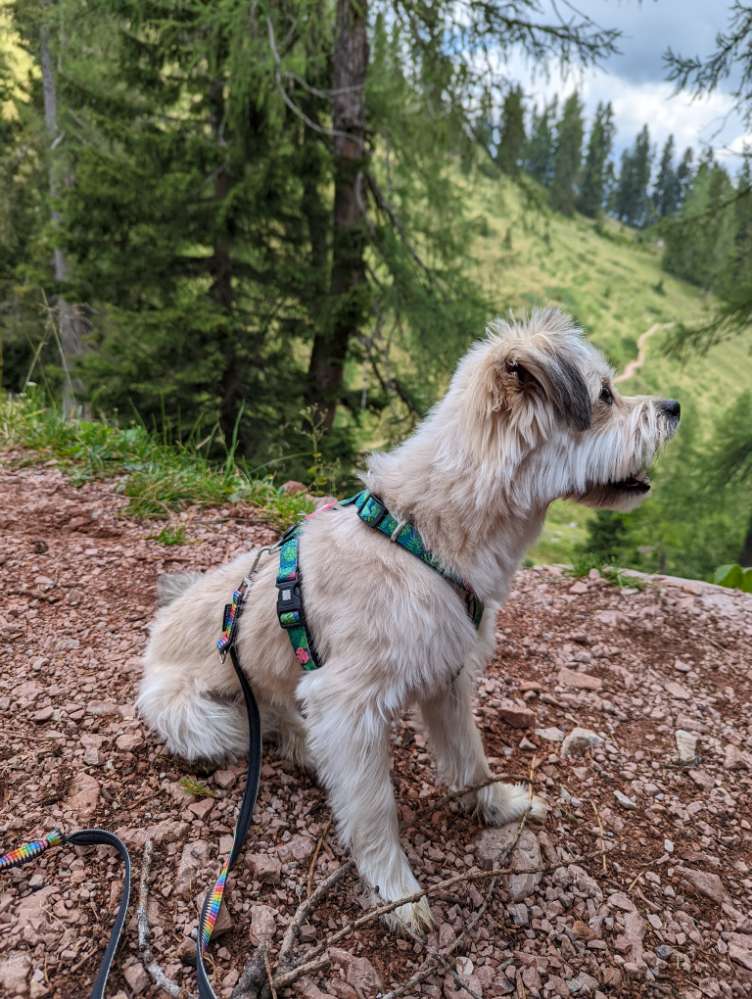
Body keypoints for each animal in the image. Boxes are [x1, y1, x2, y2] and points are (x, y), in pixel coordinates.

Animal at [137, 308, 680, 932]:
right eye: (606, 394)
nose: (674, 407)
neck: (425, 536)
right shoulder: (348, 705)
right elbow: (375, 809)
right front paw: (396, 891)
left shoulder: (448, 677)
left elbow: (470, 758)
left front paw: (495, 805)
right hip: (199, 717)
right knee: (261, 728)